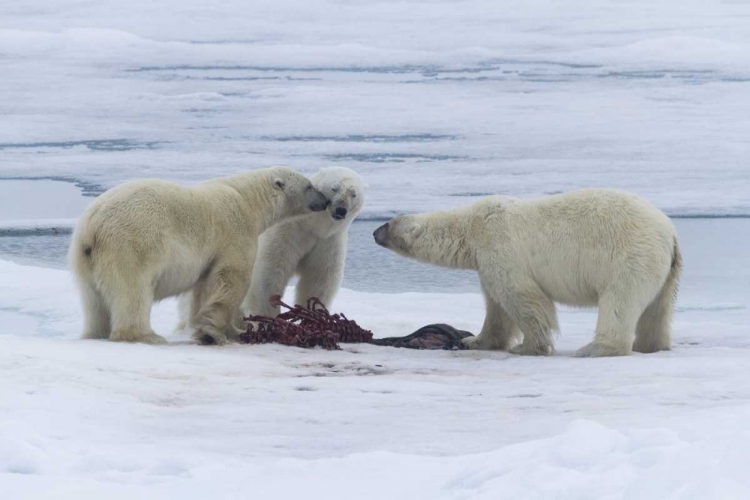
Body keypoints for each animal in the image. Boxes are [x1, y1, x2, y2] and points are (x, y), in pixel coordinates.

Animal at [68, 166, 328, 346]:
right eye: (309, 186)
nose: (325, 201)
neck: (247, 199)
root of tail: (92, 228)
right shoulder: (235, 231)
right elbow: (232, 278)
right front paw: (219, 333)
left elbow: (203, 288)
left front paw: (209, 327)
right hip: (130, 245)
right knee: (133, 291)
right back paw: (146, 335)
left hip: (84, 259)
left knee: (93, 302)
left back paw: (95, 334)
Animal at [245, 167, 366, 316]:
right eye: (334, 188)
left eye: (353, 194)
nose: (341, 209)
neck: (313, 225)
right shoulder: (288, 232)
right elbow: (270, 271)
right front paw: (267, 314)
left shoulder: (328, 241)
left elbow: (319, 278)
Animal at [374, 188, 680, 356]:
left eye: (388, 224)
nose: (374, 232)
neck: (471, 228)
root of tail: (669, 233)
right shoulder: (487, 264)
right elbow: (496, 309)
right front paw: (474, 341)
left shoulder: (501, 249)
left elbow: (524, 299)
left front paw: (528, 347)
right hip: (664, 270)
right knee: (657, 309)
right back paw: (651, 345)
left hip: (629, 258)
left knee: (620, 302)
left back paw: (595, 349)